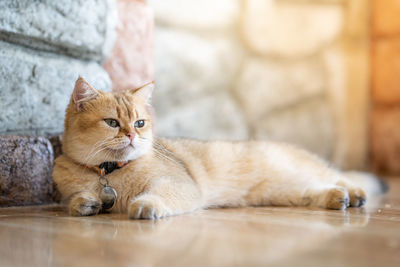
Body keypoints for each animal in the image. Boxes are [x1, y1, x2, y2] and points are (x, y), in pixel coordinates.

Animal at [53, 77, 388, 220]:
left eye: (139, 123)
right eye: (112, 123)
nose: (133, 136)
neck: (110, 173)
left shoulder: (179, 185)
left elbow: (156, 196)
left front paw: (146, 205)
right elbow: (76, 200)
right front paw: (86, 203)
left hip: (300, 170)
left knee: (341, 176)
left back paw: (356, 194)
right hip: (283, 190)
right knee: (317, 188)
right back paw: (338, 199)